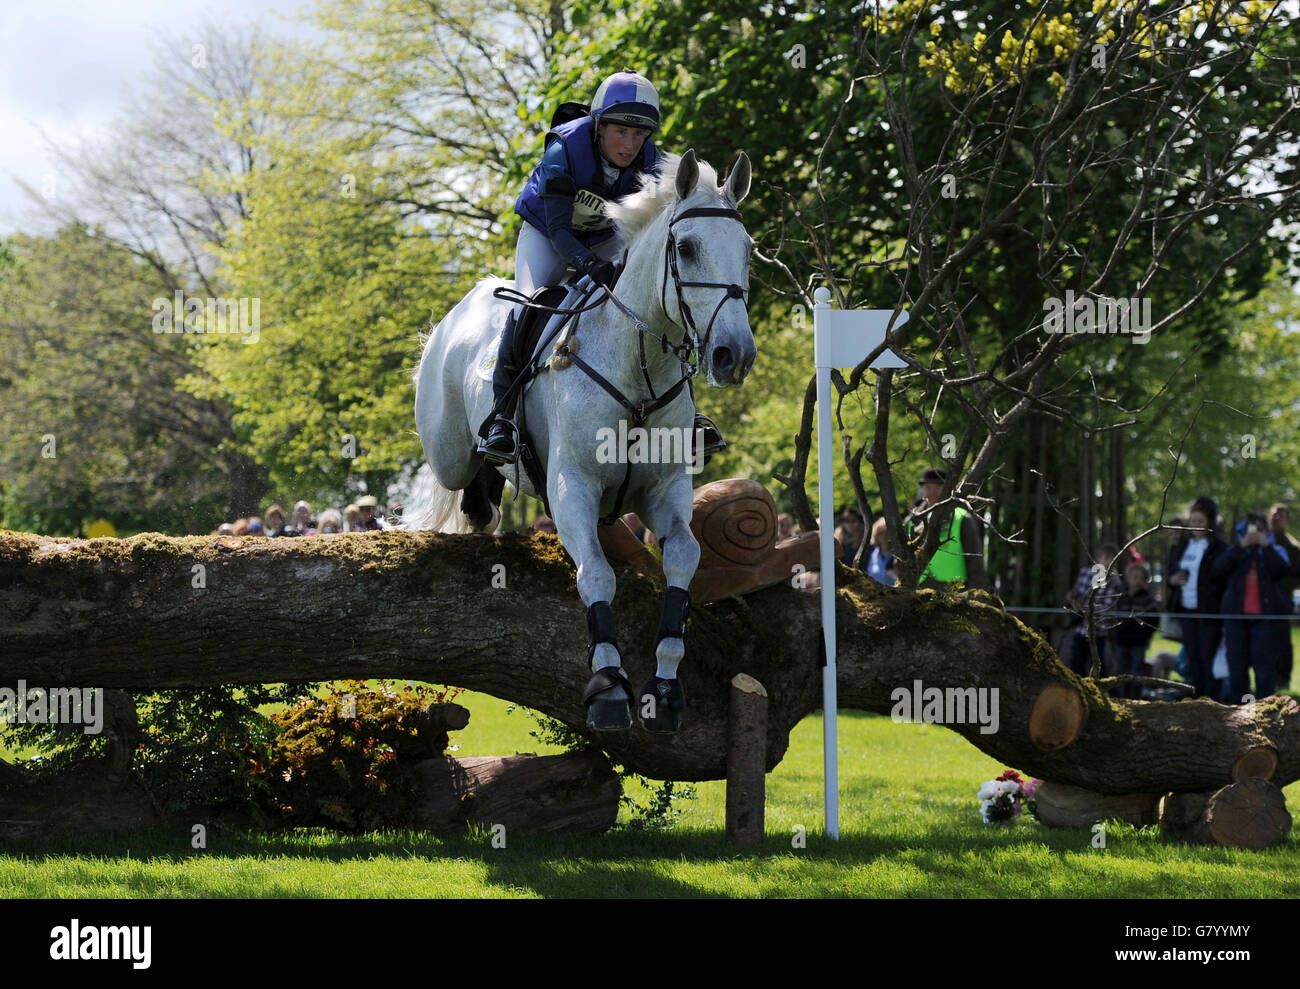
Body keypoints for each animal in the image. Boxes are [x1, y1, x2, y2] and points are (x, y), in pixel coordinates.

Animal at [406, 149, 756, 733]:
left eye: (748, 250)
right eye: (685, 248)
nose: (736, 356)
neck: (639, 368)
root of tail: (464, 307)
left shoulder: (665, 491)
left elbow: (683, 561)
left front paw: (665, 688)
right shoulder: (573, 488)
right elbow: (596, 576)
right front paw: (609, 688)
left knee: (480, 502)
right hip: (446, 448)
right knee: (459, 477)